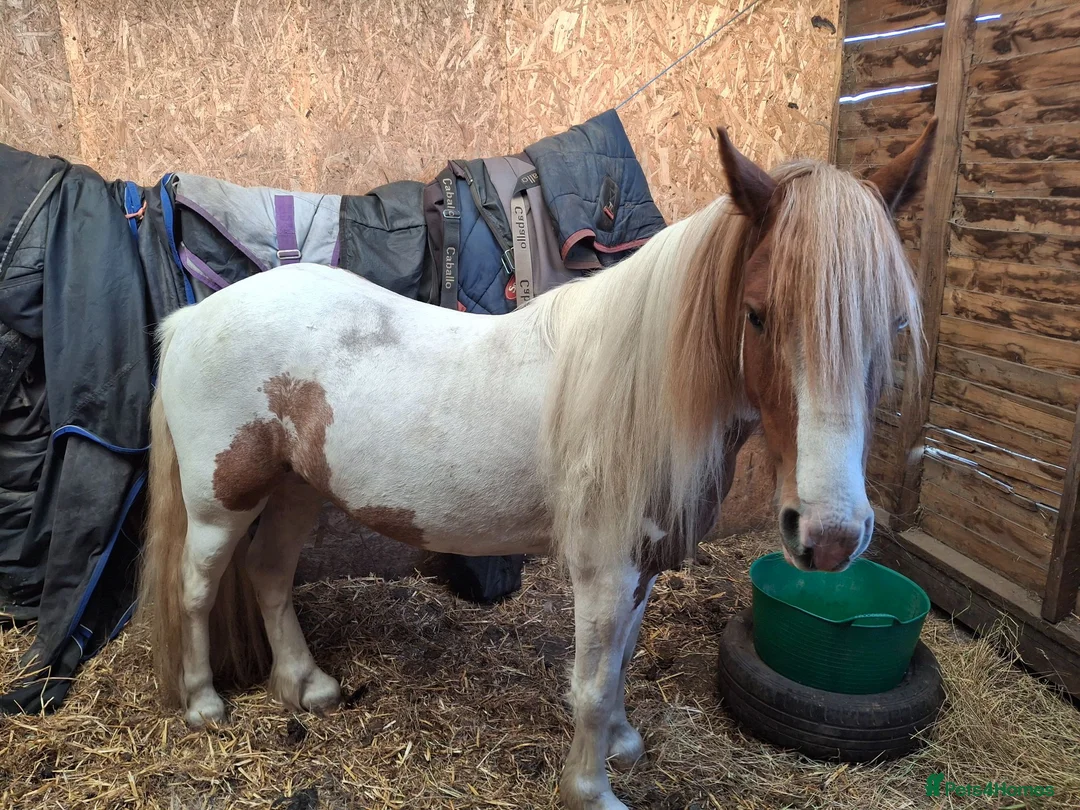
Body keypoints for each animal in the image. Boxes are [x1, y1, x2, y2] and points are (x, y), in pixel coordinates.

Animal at [138, 119, 936, 810]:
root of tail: (190, 319)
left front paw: (622, 743)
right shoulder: (602, 568)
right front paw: (591, 790)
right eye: (758, 315)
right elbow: (590, 682)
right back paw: (203, 702)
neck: (639, 384)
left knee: (270, 572)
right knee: (196, 587)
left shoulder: (642, 563)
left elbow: (620, 663)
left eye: (894, 323)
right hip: (221, 502)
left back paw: (306, 685)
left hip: (299, 489)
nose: (830, 537)